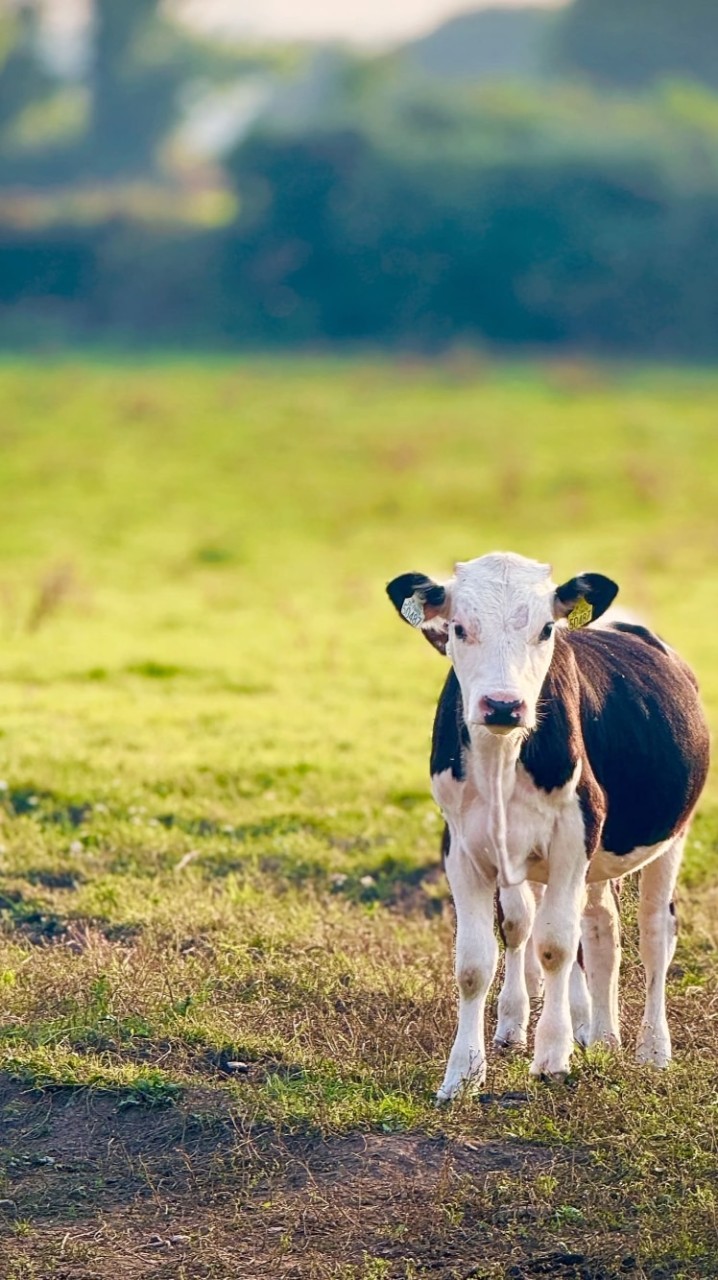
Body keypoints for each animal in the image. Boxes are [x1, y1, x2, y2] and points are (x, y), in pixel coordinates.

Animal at [383, 550, 706, 1100]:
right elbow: (478, 960)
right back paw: (601, 1036)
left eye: (546, 628)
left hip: (670, 838)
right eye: (459, 627)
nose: (503, 704)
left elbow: (555, 946)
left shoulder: (574, 837)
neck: (500, 760)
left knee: (654, 934)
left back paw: (652, 1050)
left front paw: (552, 1056)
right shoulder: (463, 848)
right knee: (599, 930)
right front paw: (464, 1072)